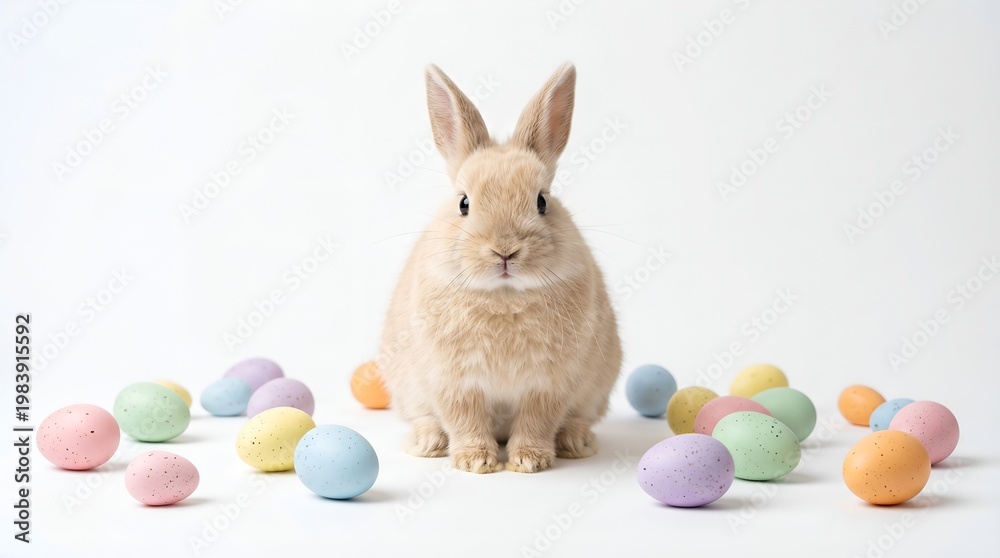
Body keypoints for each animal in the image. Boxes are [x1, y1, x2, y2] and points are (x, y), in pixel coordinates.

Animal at [377, 63, 622, 474]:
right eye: (463, 203)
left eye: (542, 202)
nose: (505, 251)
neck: (504, 296)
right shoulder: (454, 383)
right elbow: (465, 419)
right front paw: (476, 461)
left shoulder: (548, 385)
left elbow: (537, 421)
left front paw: (528, 461)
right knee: (424, 417)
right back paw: (427, 442)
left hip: (595, 393)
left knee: (578, 418)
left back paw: (575, 442)